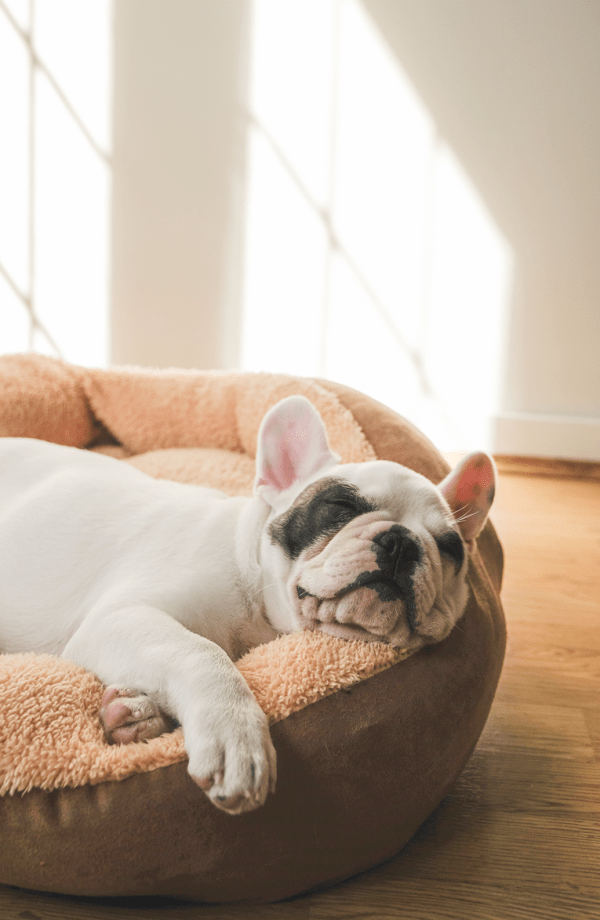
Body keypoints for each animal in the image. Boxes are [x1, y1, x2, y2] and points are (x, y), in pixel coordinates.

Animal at [0, 396, 496, 812]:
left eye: (451, 547)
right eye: (339, 505)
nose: (401, 542)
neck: (257, 597)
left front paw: (136, 715)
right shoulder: (122, 618)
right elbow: (200, 652)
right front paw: (234, 737)